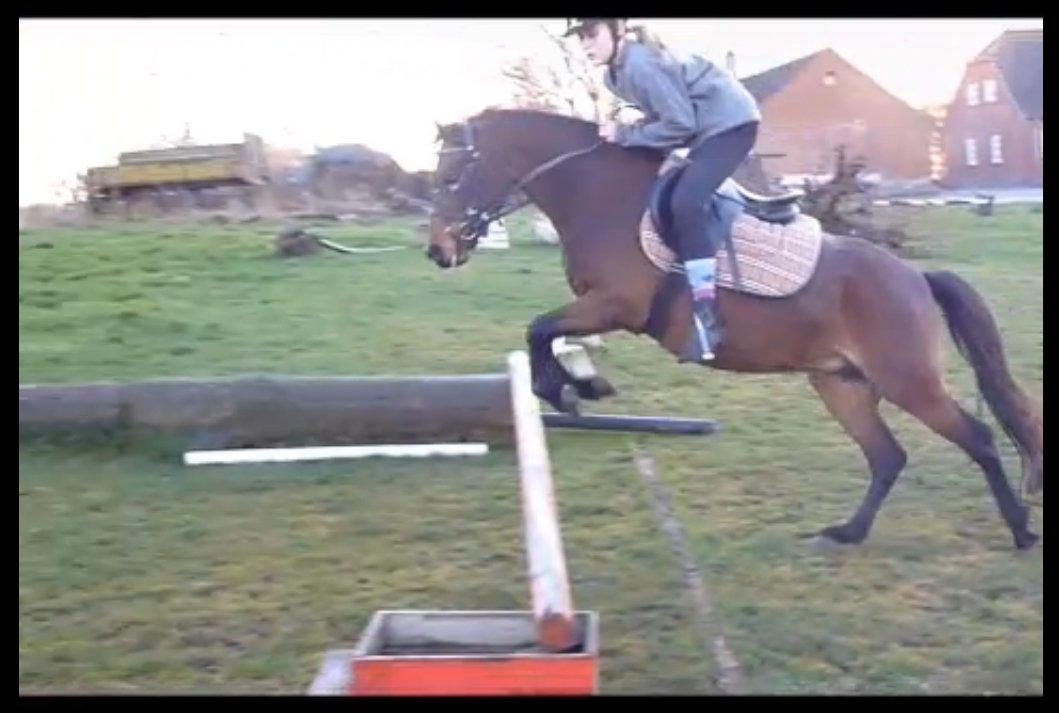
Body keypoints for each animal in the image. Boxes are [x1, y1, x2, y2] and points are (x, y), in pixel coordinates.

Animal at [426, 108, 1042, 551]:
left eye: (451, 176)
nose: (438, 251)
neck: (599, 195)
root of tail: (915, 277)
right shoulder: (599, 309)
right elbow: (543, 333)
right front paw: (579, 385)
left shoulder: (615, 306)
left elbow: (539, 329)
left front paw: (569, 389)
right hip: (840, 383)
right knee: (887, 457)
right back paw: (847, 533)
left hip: (907, 381)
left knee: (978, 438)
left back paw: (1020, 529)